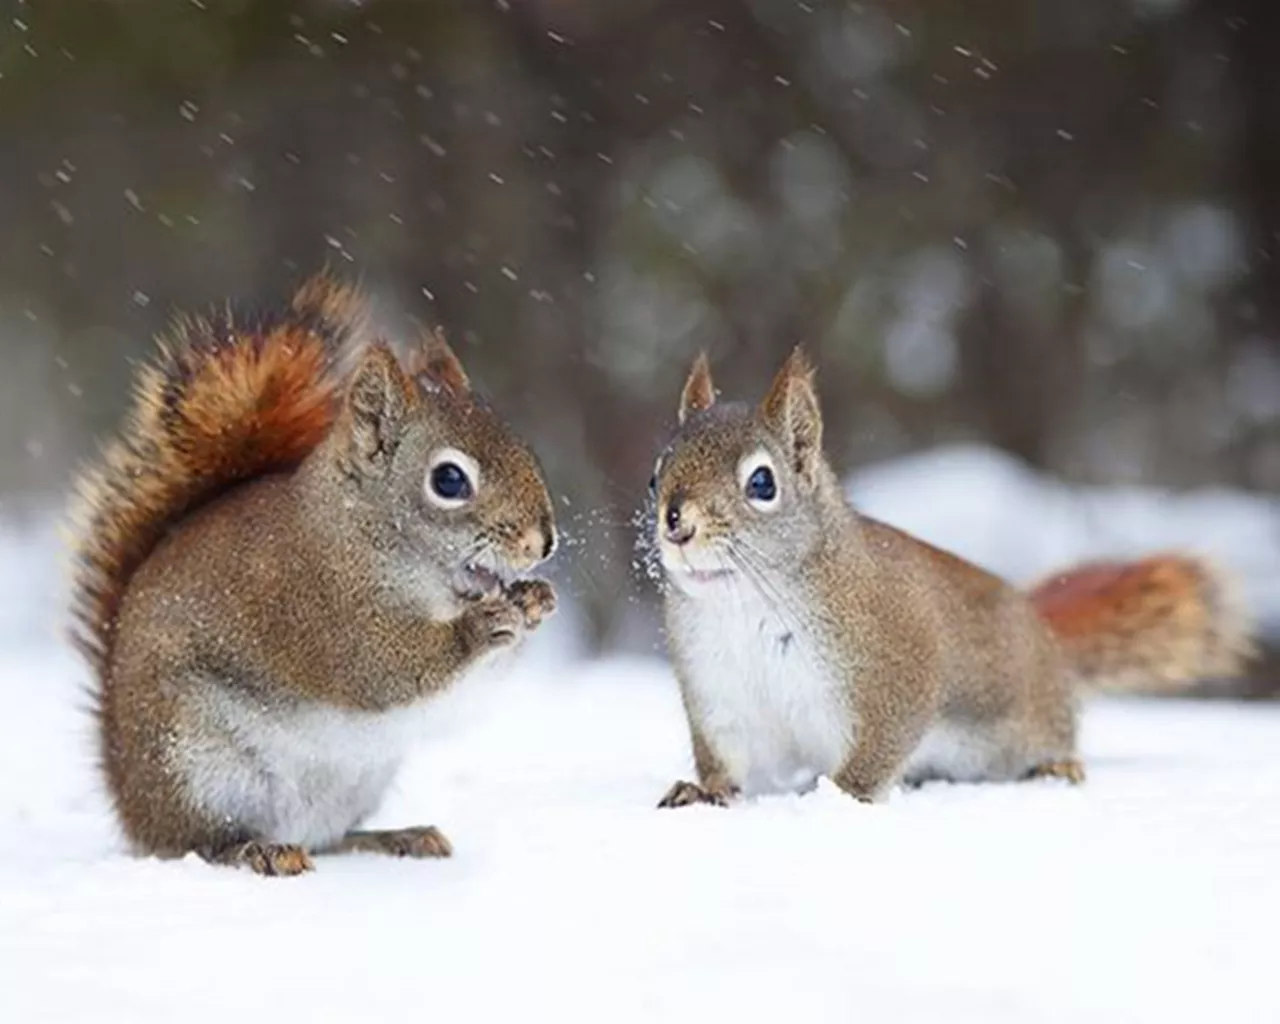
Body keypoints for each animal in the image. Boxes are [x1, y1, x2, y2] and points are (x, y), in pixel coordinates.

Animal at [66, 276, 555, 875]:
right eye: (449, 480)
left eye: (521, 445)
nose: (543, 542)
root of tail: (127, 797)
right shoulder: (324, 614)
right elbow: (389, 671)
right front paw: (481, 627)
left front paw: (534, 600)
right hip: (194, 765)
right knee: (198, 843)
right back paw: (257, 850)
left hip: (356, 781)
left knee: (332, 838)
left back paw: (396, 836)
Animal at [650, 350, 1249, 808]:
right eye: (658, 473)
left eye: (762, 483)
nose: (677, 521)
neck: (743, 601)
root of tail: (1046, 639)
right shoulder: (720, 697)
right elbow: (725, 758)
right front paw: (705, 791)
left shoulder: (895, 676)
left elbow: (877, 753)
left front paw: (840, 796)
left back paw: (1057, 768)